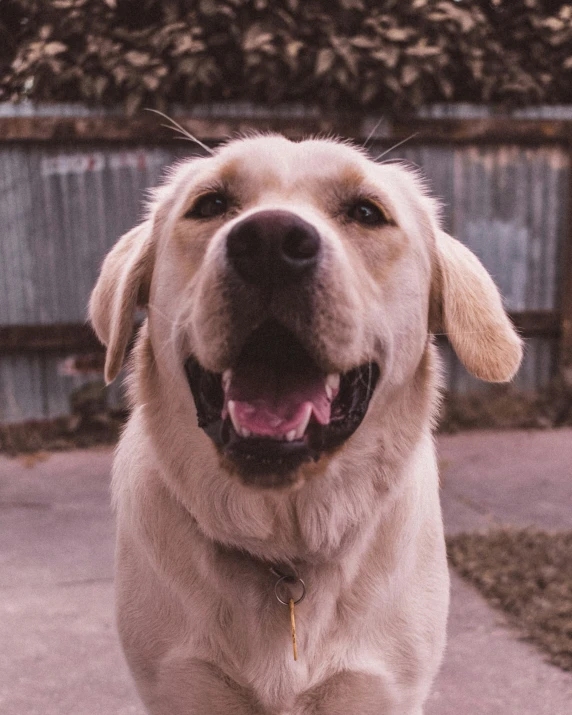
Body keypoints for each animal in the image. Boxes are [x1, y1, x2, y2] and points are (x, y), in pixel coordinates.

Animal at [89, 133, 524, 712]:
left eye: (366, 212)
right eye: (210, 204)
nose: (270, 243)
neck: (286, 549)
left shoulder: (383, 687)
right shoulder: (179, 684)